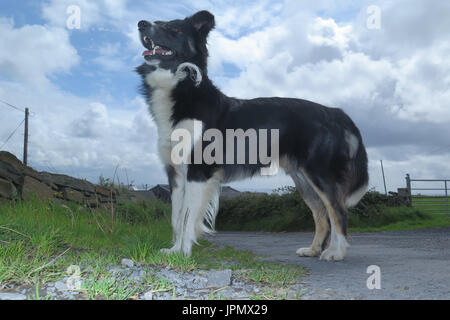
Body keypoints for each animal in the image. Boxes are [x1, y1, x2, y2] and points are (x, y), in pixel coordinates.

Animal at [135, 10, 368, 260]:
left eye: (174, 29)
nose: (141, 24)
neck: (181, 85)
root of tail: (336, 112)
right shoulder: (176, 173)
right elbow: (176, 217)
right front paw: (174, 250)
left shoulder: (198, 170)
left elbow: (187, 217)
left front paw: (183, 252)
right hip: (303, 178)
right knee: (321, 212)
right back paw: (313, 249)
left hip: (320, 173)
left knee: (338, 210)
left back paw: (335, 252)